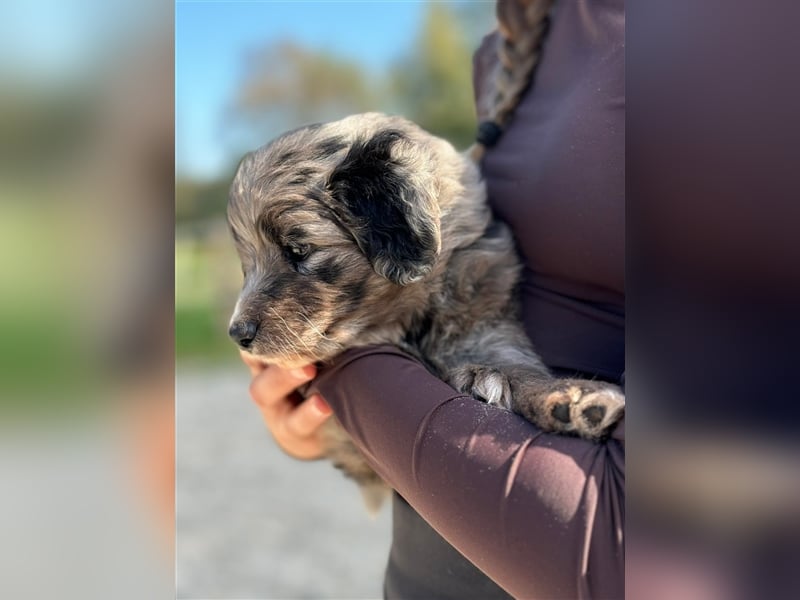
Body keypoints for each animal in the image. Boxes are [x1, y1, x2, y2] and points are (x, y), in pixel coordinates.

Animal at [227, 111, 624, 506]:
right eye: (246, 266)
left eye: (299, 250)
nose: (237, 334)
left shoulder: (487, 328)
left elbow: (517, 366)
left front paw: (572, 398)